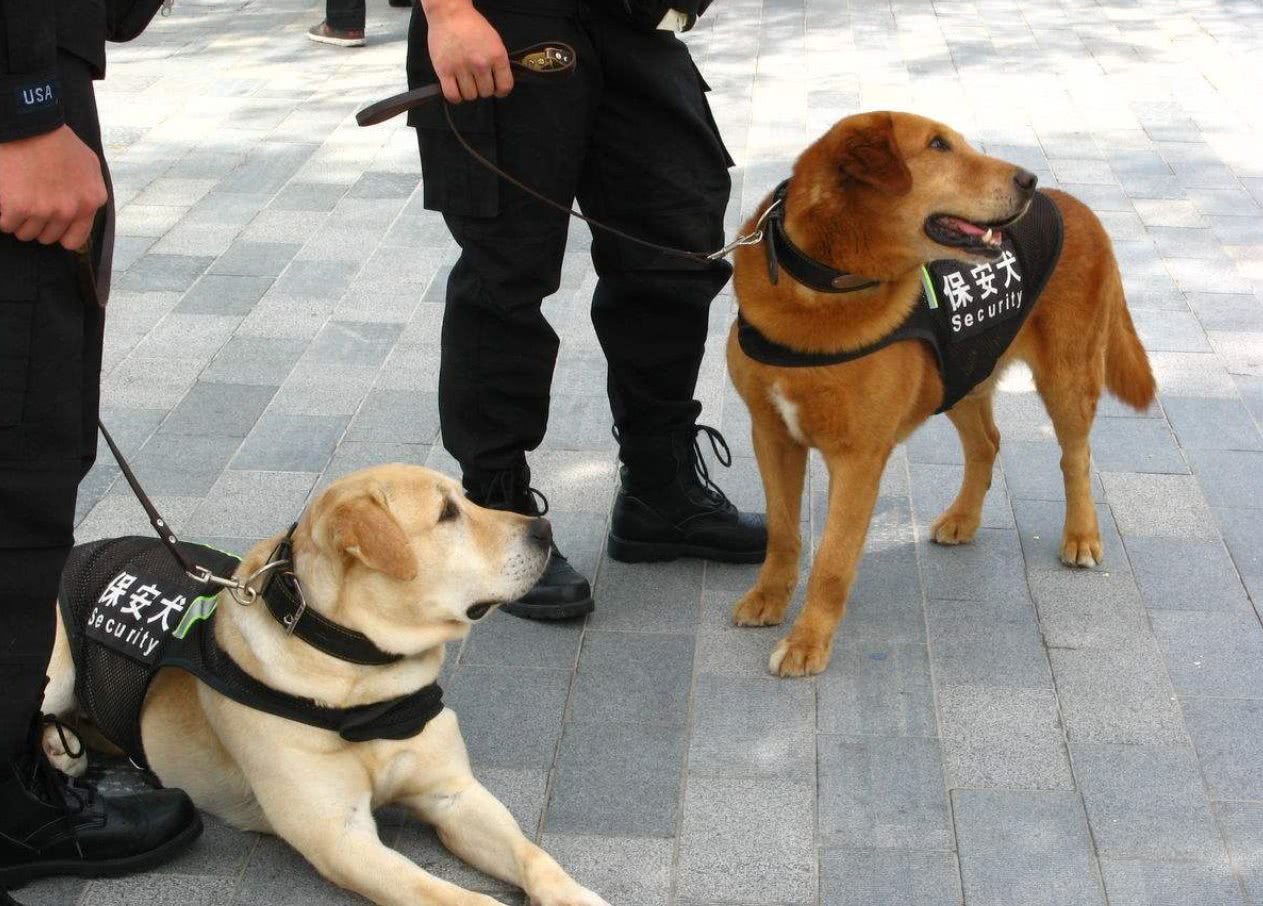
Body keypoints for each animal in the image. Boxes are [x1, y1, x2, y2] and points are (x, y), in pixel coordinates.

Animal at [40, 462, 611, 904]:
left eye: (467, 499)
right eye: (447, 514)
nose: (545, 529)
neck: (365, 683)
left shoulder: (452, 793)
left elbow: (534, 856)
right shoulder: (340, 838)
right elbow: (449, 895)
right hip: (55, 666)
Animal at [732, 111, 1156, 672]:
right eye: (938, 146)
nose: (1029, 179)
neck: (822, 288)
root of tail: (1076, 205)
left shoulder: (858, 459)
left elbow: (833, 560)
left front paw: (807, 641)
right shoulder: (771, 434)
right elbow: (782, 534)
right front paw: (770, 597)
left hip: (1067, 374)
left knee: (1075, 457)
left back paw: (1081, 534)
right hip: (963, 370)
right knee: (986, 444)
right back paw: (963, 517)